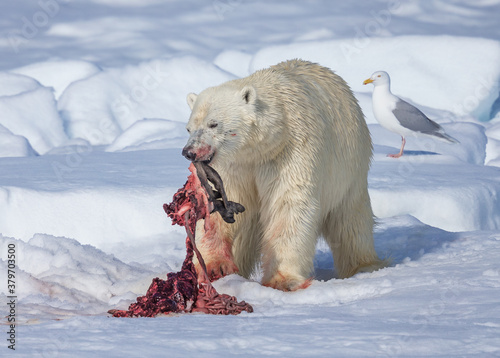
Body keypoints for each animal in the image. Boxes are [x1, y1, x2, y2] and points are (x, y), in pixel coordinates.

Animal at [182, 58, 384, 290]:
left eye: (213, 123)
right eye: (189, 128)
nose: (189, 152)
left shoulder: (290, 151)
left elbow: (288, 202)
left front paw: (283, 280)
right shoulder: (234, 164)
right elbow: (223, 204)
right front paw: (214, 267)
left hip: (350, 172)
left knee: (350, 221)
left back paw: (364, 266)